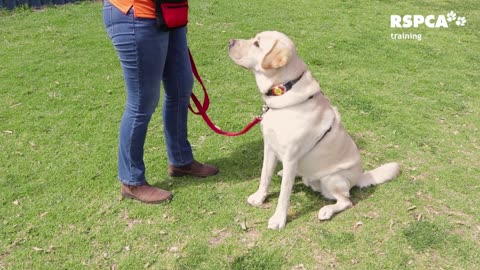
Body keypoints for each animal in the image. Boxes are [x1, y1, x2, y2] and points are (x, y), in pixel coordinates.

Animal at [229, 31, 402, 230]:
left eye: (257, 44)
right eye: (253, 38)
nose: (230, 42)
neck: (285, 89)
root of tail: (359, 176)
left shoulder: (290, 157)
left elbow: (284, 194)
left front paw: (279, 219)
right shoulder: (270, 147)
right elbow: (265, 176)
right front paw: (259, 197)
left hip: (332, 179)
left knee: (346, 201)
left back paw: (327, 210)